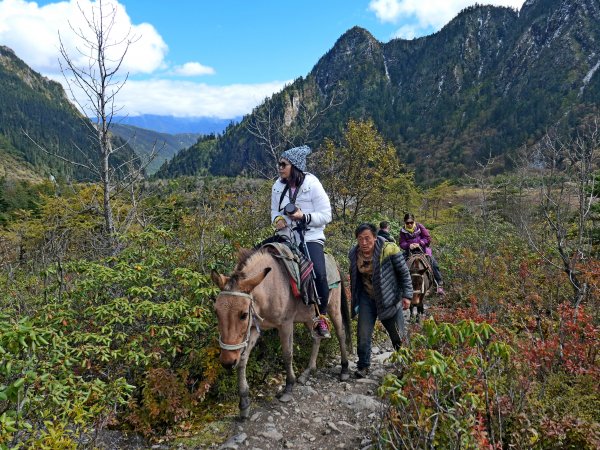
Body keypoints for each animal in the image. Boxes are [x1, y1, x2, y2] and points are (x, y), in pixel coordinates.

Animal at [211, 246, 352, 418]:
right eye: (216, 312)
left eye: (243, 314)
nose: (227, 361)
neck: (270, 286)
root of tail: (334, 262)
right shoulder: (254, 328)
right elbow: (243, 359)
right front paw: (244, 403)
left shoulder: (285, 324)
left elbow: (287, 354)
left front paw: (288, 387)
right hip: (308, 317)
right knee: (316, 339)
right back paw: (307, 372)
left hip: (334, 308)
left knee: (341, 334)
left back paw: (344, 368)